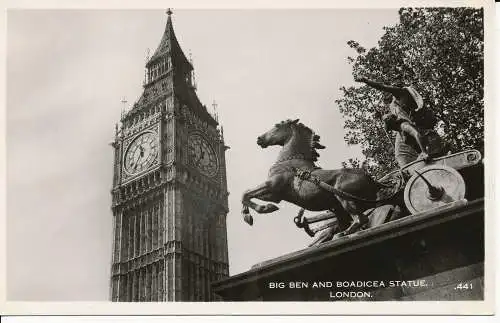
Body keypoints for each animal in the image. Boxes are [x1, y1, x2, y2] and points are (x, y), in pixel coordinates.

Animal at [240, 119, 400, 240]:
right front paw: (264, 209)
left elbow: (245, 193)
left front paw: (257, 213)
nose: (259, 139)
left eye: (277, 125)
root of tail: (374, 181)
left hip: (344, 197)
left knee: (361, 219)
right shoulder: (275, 195)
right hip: (341, 206)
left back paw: (343, 234)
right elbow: (247, 194)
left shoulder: (272, 186)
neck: (290, 161)